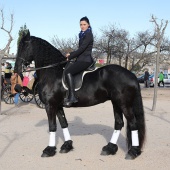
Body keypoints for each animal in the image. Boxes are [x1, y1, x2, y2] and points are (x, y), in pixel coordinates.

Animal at [14, 31, 145, 160]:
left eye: (24, 46)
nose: (16, 70)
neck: (52, 71)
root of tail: (132, 75)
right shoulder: (58, 105)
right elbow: (63, 123)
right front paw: (67, 146)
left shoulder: (50, 105)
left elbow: (52, 126)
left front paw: (49, 150)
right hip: (116, 102)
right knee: (119, 123)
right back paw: (109, 148)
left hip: (124, 103)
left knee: (133, 124)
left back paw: (133, 151)